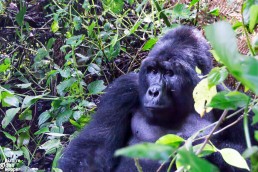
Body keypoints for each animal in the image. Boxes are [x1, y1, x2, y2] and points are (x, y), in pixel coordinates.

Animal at [57, 25, 253, 172]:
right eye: (153, 71)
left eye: (169, 73)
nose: (153, 92)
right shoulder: (123, 91)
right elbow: (93, 150)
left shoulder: (235, 101)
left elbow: (247, 156)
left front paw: (193, 146)